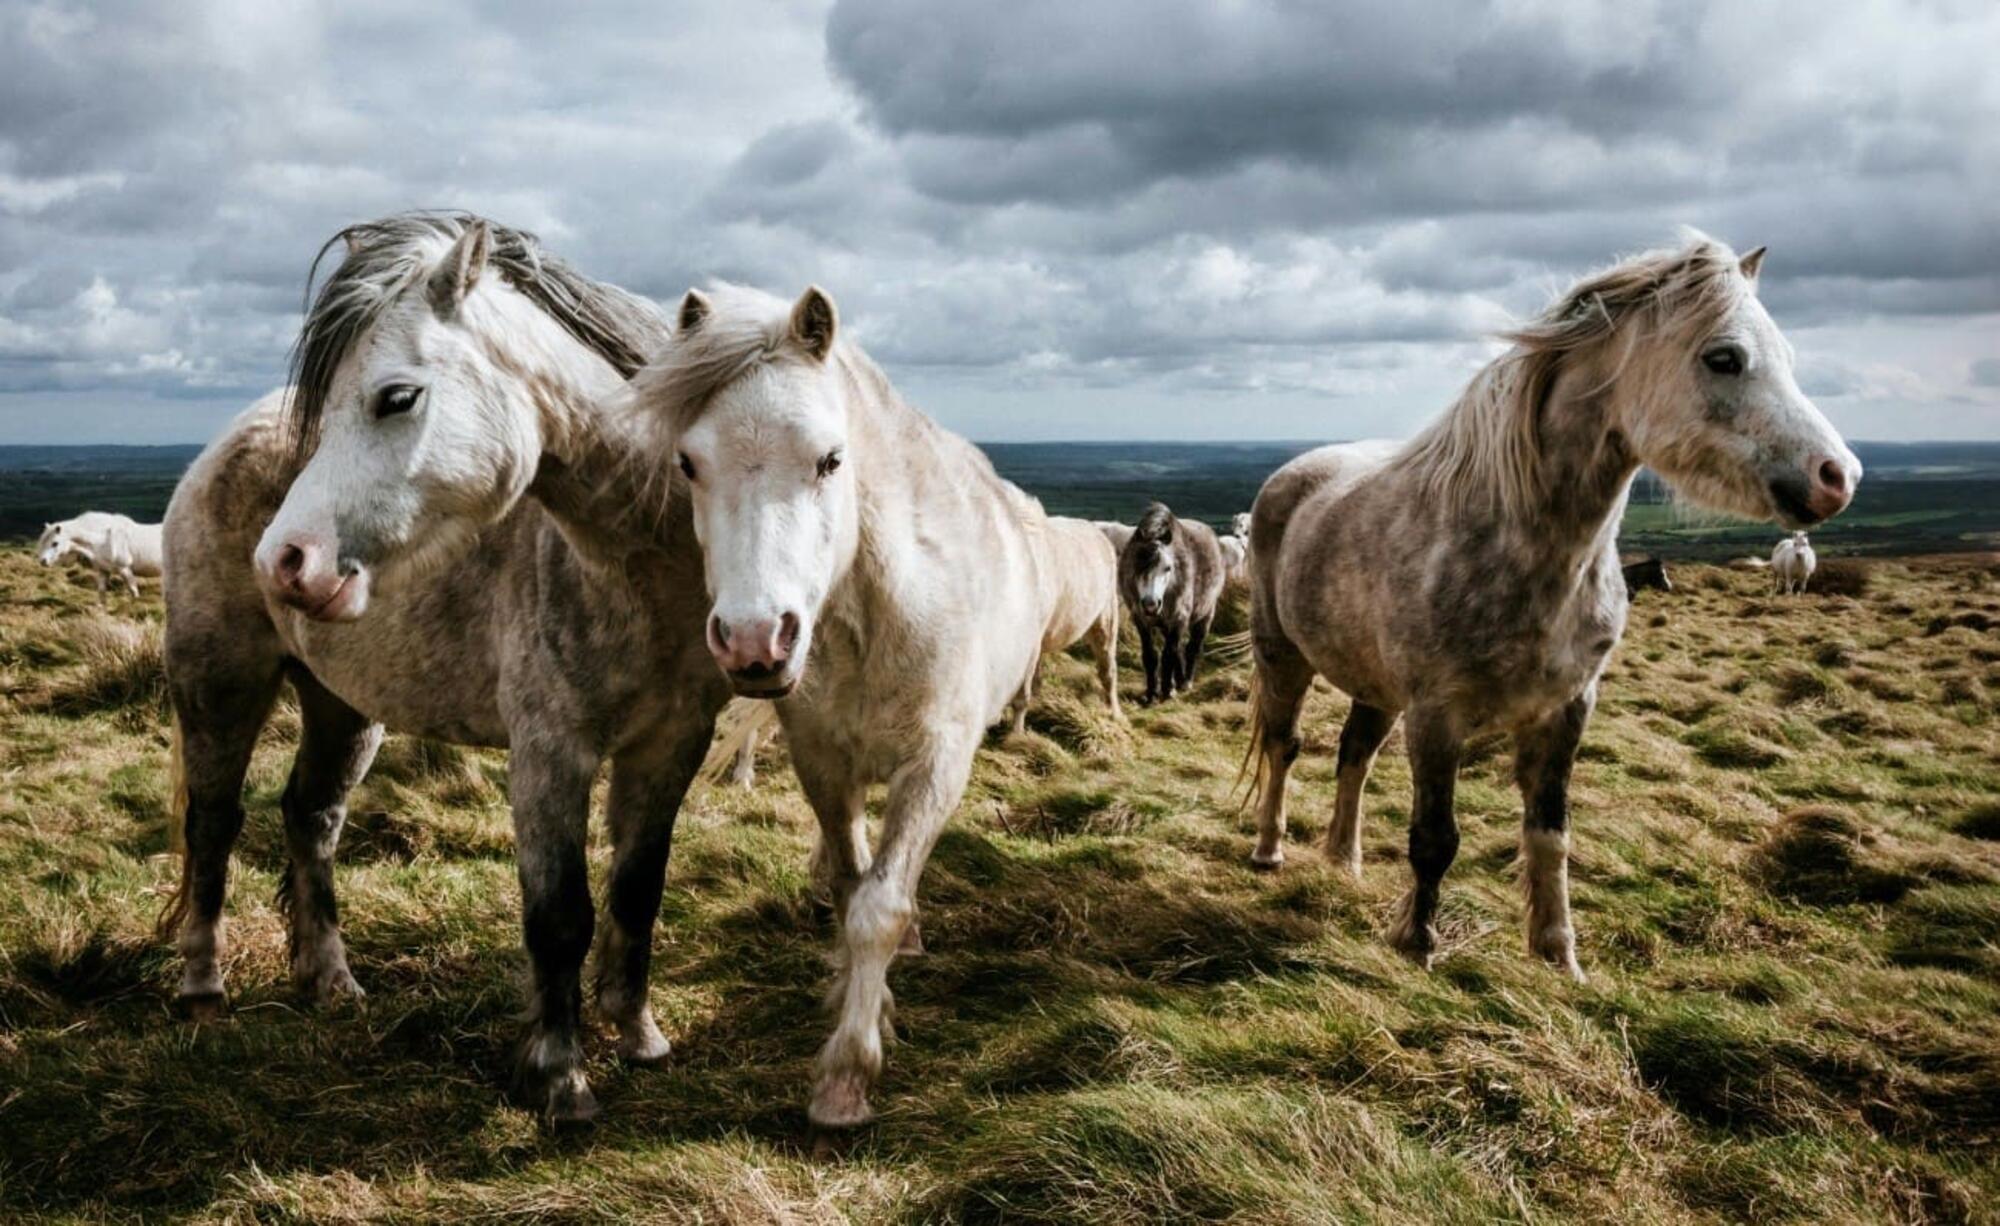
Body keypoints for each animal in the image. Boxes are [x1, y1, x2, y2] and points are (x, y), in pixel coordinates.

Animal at [157, 214, 729, 1124]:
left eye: (397, 397)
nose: (285, 562)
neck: (643, 564)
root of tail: (217, 450)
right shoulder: (550, 752)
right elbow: (559, 913)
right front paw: (560, 1078)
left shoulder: (674, 743)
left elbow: (639, 889)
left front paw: (639, 1036)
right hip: (221, 683)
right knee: (214, 823)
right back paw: (204, 989)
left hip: (343, 707)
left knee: (311, 817)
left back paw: (331, 981)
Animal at [623, 282, 1049, 1129]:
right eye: (689, 463)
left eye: (830, 459)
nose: (754, 640)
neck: (874, 618)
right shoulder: (821, 762)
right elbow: (856, 890)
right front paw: (853, 1014)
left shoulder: (936, 765)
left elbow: (879, 908)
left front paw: (848, 1076)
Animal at [1117, 502, 1226, 704]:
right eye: (1136, 567)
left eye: (1167, 568)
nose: (1151, 604)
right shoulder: (1141, 621)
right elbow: (1151, 656)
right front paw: (1152, 693)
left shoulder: (1178, 618)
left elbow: (1169, 655)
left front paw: (1167, 691)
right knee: (1179, 650)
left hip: (1205, 615)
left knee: (1192, 648)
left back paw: (1186, 682)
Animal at [1243, 236, 1858, 980]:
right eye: (1724, 358)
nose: (1839, 477)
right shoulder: (1436, 716)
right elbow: (1434, 837)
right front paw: (1419, 942)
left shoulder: (1567, 710)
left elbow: (1550, 833)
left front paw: (1559, 955)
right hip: (1284, 657)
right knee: (1284, 747)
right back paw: (1270, 849)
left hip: (1375, 685)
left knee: (1353, 756)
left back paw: (1343, 862)